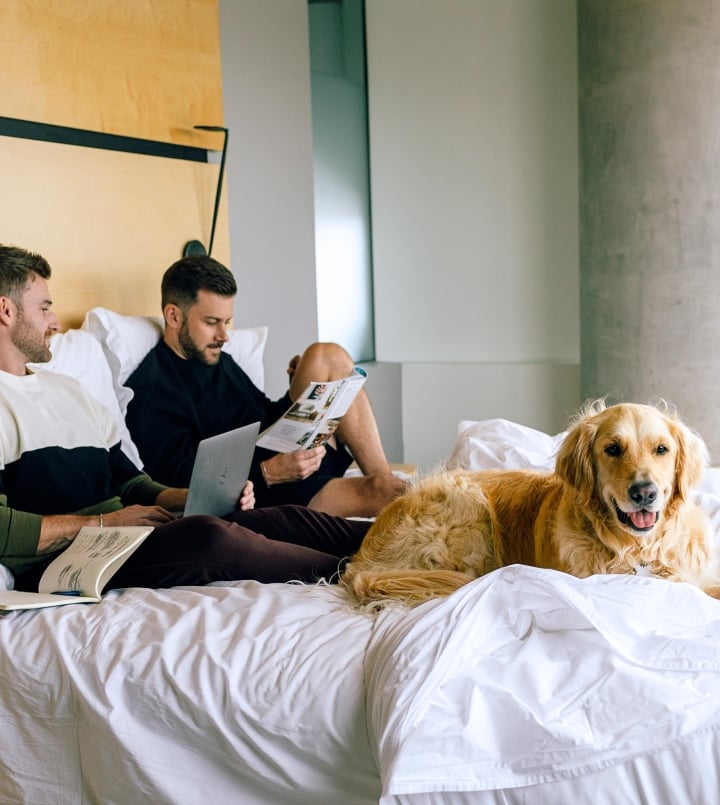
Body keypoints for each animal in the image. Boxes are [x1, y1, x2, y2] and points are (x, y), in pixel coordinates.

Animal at [338, 398, 720, 608]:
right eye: (613, 449)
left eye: (661, 449)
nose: (644, 493)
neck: (638, 550)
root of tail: (360, 561)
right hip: (466, 502)